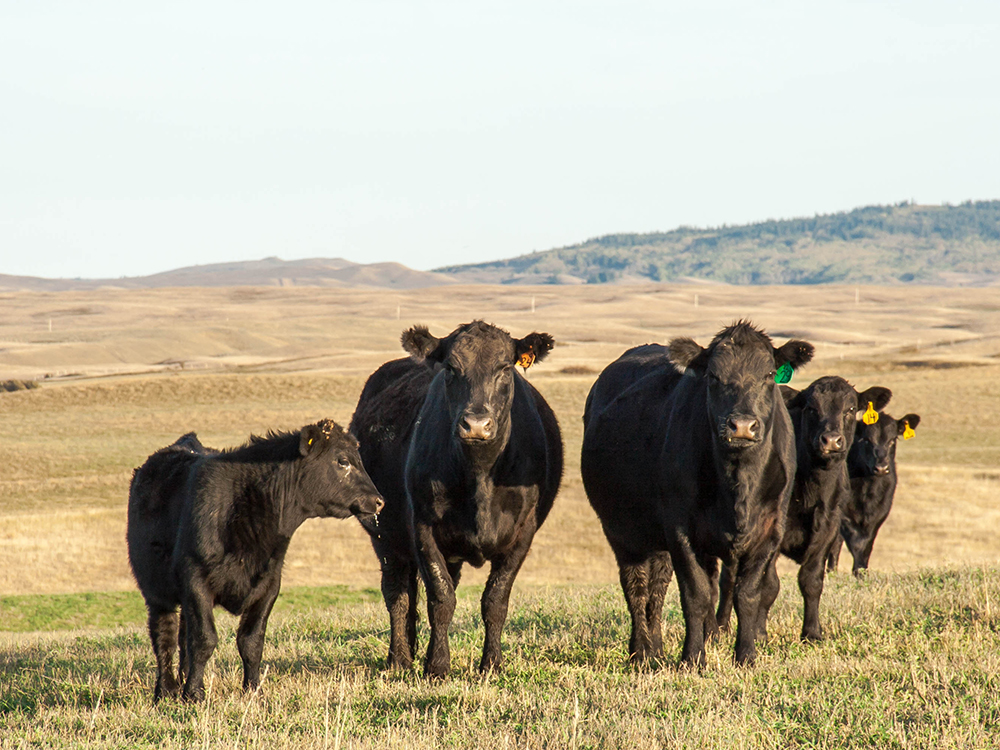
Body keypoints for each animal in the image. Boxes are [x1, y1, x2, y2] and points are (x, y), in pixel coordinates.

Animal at [128, 420, 382, 704]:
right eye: (342, 461)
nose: (378, 501)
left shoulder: (269, 583)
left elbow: (251, 641)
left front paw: (252, 690)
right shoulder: (195, 579)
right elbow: (204, 639)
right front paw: (193, 694)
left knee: (183, 634)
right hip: (155, 591)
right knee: (165, 634)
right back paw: (166, 690)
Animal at [354, 320, 564, 680]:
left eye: (505, 368)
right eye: (451, 368)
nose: (476, 424)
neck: (480, 476)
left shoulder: (523, 532)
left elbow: (495, 599)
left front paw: (492, 664)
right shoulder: (422, 527)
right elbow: (441, 598)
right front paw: (438, 666)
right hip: (384, 535)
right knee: (397, 594)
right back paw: (399, 658)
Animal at [584, 320, 816, 668]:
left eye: (768, 375)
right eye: (713, 377)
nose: (742, 425)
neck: (738, 485)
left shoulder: (770, 530)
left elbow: (748, 594)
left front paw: (746, 656)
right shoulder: (680, 530)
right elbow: (696, 594)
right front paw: (693, 658)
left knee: (657, 587)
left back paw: (658, 649)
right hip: (622, 530)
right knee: (636, 586)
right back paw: (642, 652)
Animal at [720, 378, 892, 644]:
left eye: (851, 409)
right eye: (811, 408)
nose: (831, 440)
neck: (813, 489)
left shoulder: (829, 529)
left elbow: (811, 581)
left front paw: (812, 632)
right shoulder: (773, 532)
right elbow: (769, 585)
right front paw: (759, 633)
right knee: (728, 578)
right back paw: (720, 627)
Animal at [828, 412, 920, 576]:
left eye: (893, 439)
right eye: (866, 439)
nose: (881, 468)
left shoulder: (881, 511)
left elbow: (867, 545)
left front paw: (861, 573)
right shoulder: (843, 512)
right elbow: (856, 542)